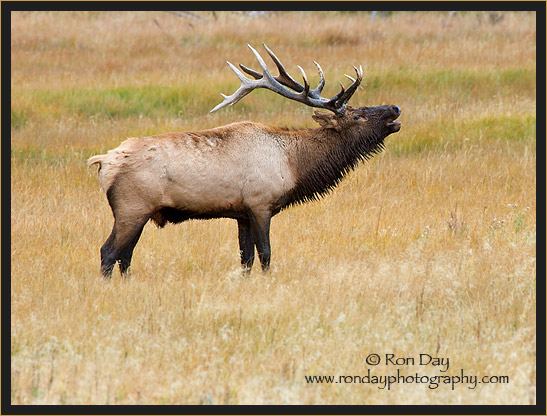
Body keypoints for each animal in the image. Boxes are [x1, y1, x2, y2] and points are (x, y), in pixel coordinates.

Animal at [88, 44, 400, 280]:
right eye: (358, 115)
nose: (395, 108)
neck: (294, 165)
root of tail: (103, 162)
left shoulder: (241, 212)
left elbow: (245, 258)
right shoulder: (260, 203)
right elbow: (265, 253)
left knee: (125, 256)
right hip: (131, 208)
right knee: (109, 252)